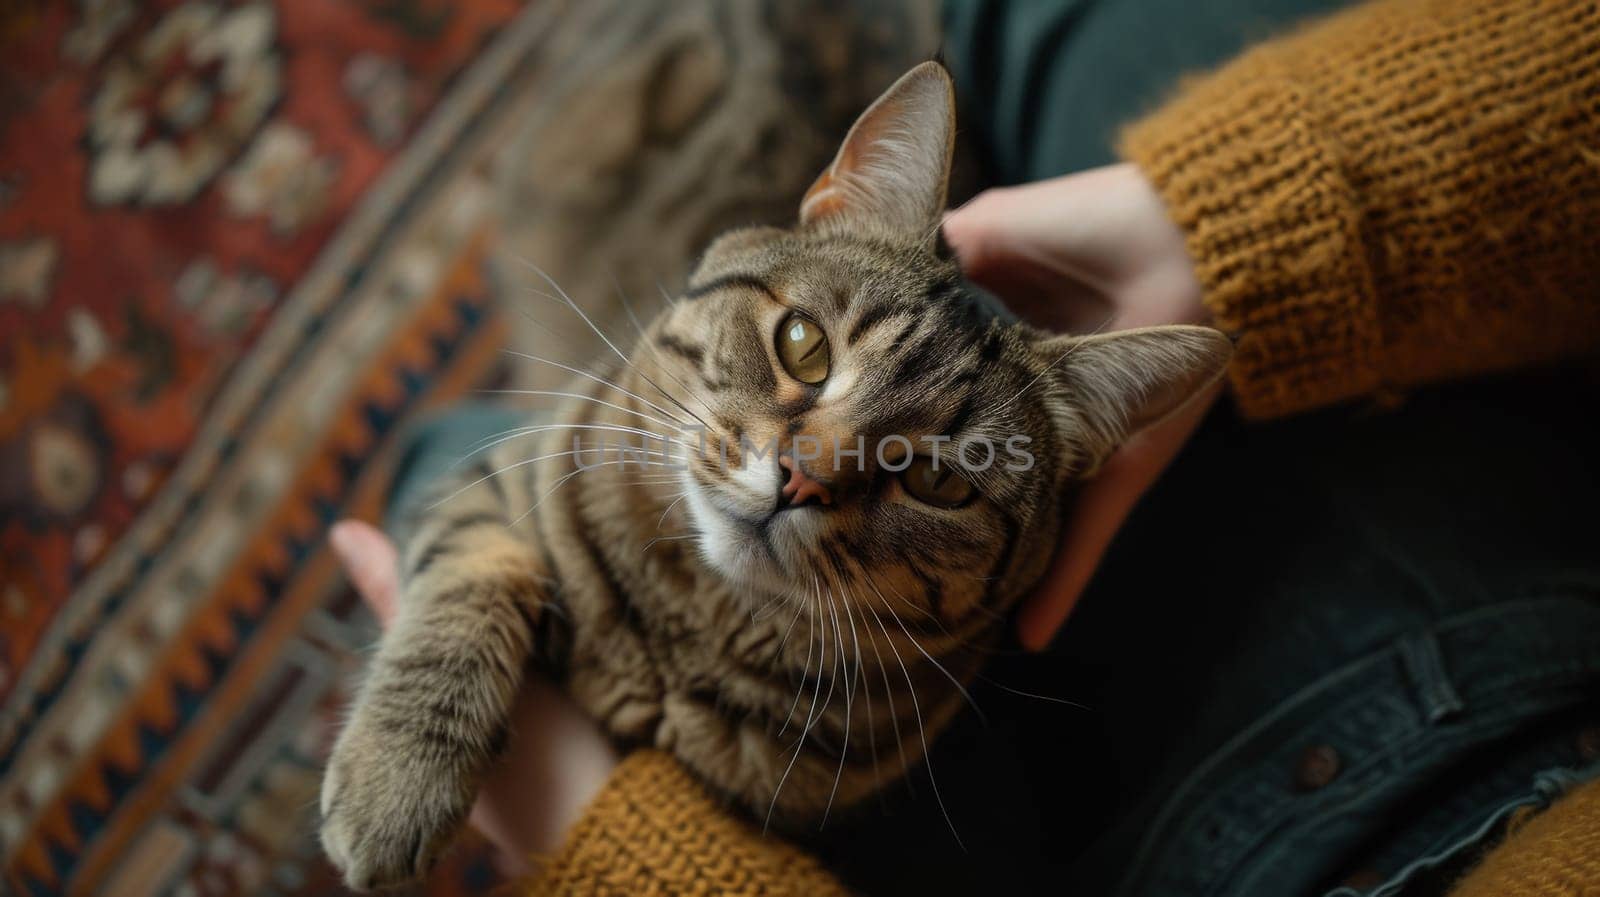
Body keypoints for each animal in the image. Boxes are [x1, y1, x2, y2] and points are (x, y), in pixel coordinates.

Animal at [318, 63, 1228, 889]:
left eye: (940, 483)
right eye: (804, 344)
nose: (802, 479)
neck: (685, 632)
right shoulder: (493, 474)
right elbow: (473, 579)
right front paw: (393, 783)